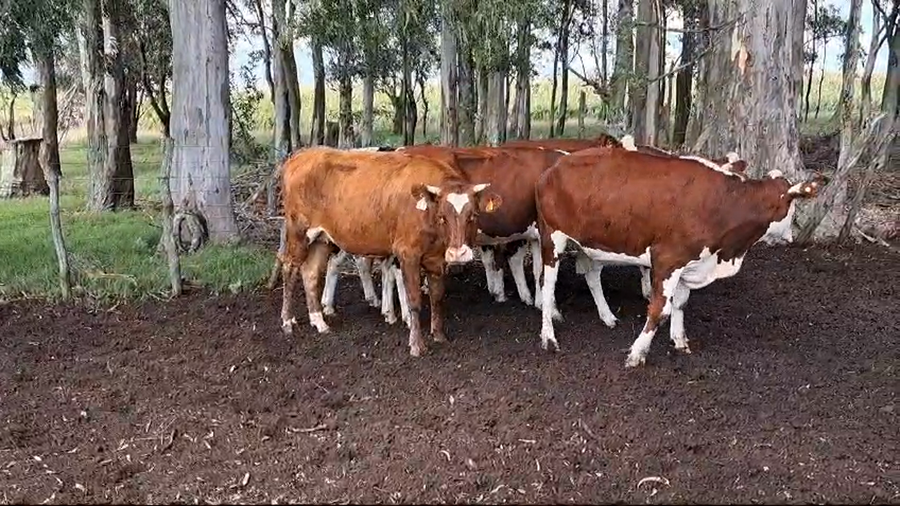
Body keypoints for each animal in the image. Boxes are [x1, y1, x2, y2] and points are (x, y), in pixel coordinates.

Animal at [279, 146, 502, 357]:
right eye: (442, 217)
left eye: (473, 216)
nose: (458, 253)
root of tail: (300, 156)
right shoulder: (408, 254)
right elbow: (414, 300)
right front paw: (416, 345)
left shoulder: (437, 258)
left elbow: (437, 297)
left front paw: (439, 336)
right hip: (299, 232)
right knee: (289, 268)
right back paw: (287, 321)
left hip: (322, 239)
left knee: (310, 273)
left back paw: (319, 321)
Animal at [534, 146, 827, 367]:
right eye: (792, 207)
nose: (793, 236)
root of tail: (556, 165)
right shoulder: (667, 259)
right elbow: (659, 310)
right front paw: (637, 353)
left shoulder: (691, 264)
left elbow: (681, 303)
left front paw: (680, 340)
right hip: (551, 238)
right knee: (546, 287)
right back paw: (549, 337)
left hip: (593, 244)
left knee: (592, 276)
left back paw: (607, 317)